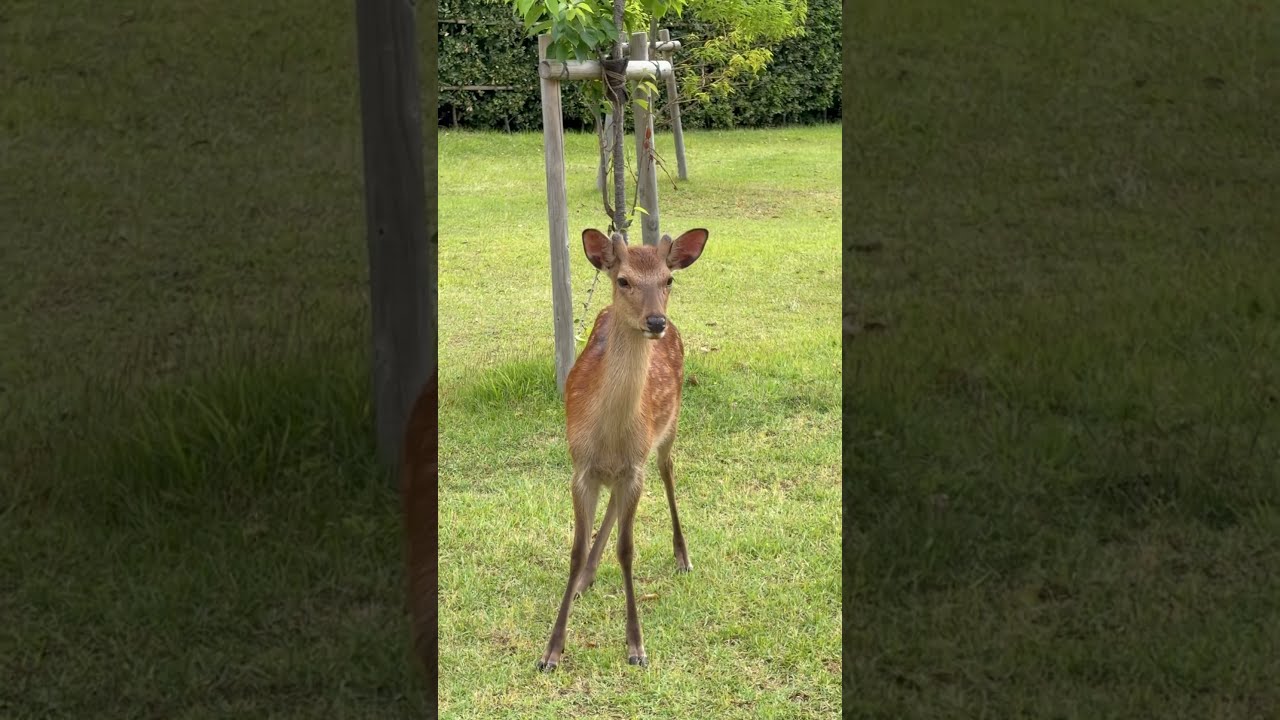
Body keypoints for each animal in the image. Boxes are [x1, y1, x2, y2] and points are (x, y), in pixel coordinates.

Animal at [536, 226, 709, 672]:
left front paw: (636, 646)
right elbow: (575, 550)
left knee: (668, 471)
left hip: (666, 433)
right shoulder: (581, 469)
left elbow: (627, 550)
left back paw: (683, 557)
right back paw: (586, 579)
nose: (656, 321)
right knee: (614, 503)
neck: (610, 434)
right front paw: (551, 651)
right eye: (624, 280)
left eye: (669, 279)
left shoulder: (635, 467)